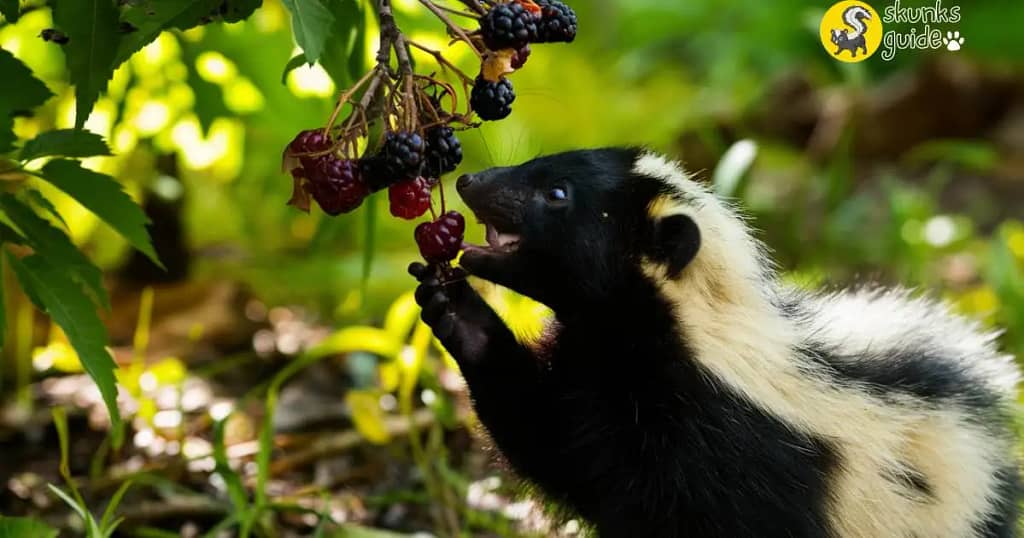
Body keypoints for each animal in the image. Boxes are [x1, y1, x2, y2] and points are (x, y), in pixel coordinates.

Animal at [409, 147, 1024, 536]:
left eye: (557, 194)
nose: (469, 180)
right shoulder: (596, 404)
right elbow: (548, 441)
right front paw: (457, 311)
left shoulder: (730, 459)